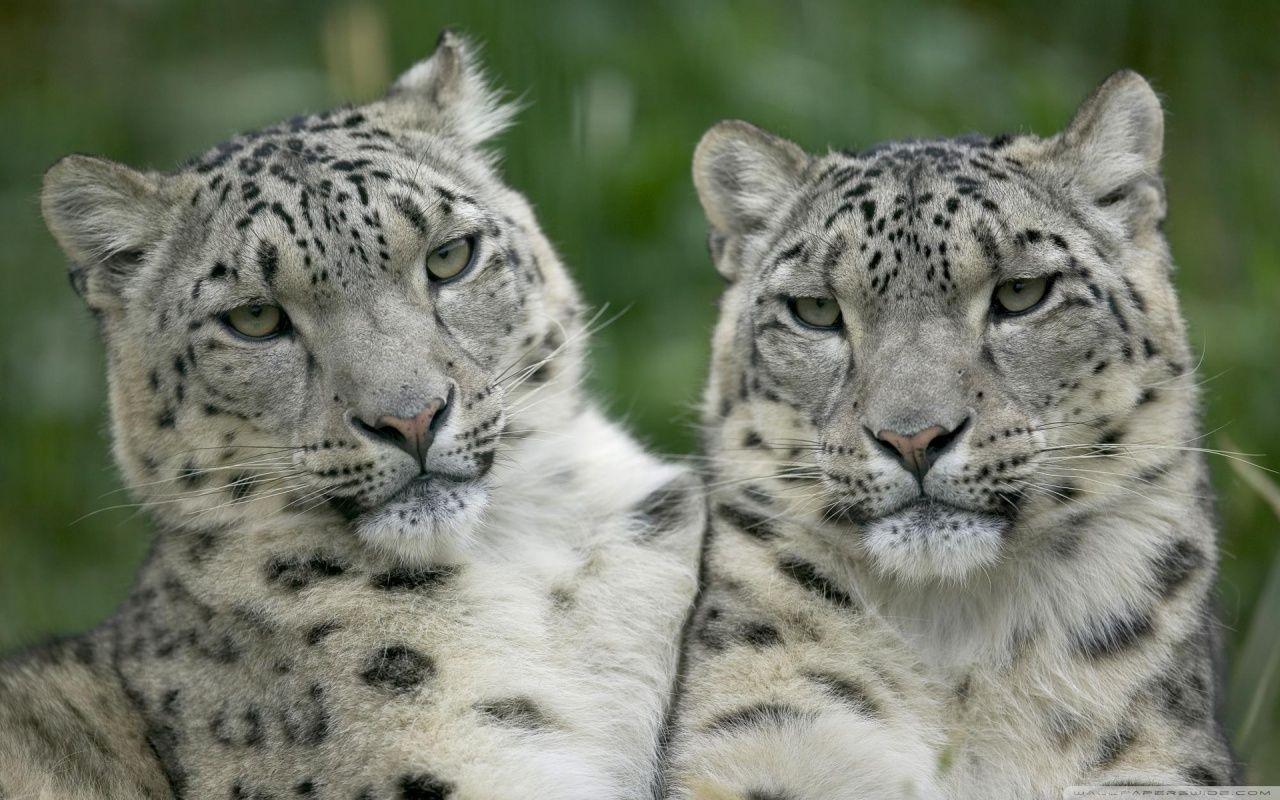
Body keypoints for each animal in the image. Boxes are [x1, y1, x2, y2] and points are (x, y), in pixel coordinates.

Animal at [660, 71, 1239, 799]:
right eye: (815, 309)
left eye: (1022, 292)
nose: (914, 438)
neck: (953, 644)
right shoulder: (754, 744)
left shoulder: (1157, 764)